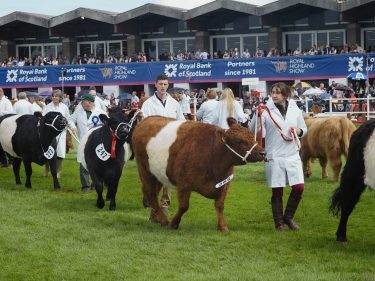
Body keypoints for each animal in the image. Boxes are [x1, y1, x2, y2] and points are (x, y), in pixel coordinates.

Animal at [134, 115, 266, 230]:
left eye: (252, 135)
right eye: (239, 141)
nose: (263, 153)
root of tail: (146, 119)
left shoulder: (225, 184)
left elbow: (220, 205)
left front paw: (222, 227)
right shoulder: (184, 184)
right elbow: (184, 206)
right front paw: (174, 223)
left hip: (158, 174)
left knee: (153, 194)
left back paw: (155, 218)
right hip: (144, 169)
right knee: (150, 193)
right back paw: (163, 220)